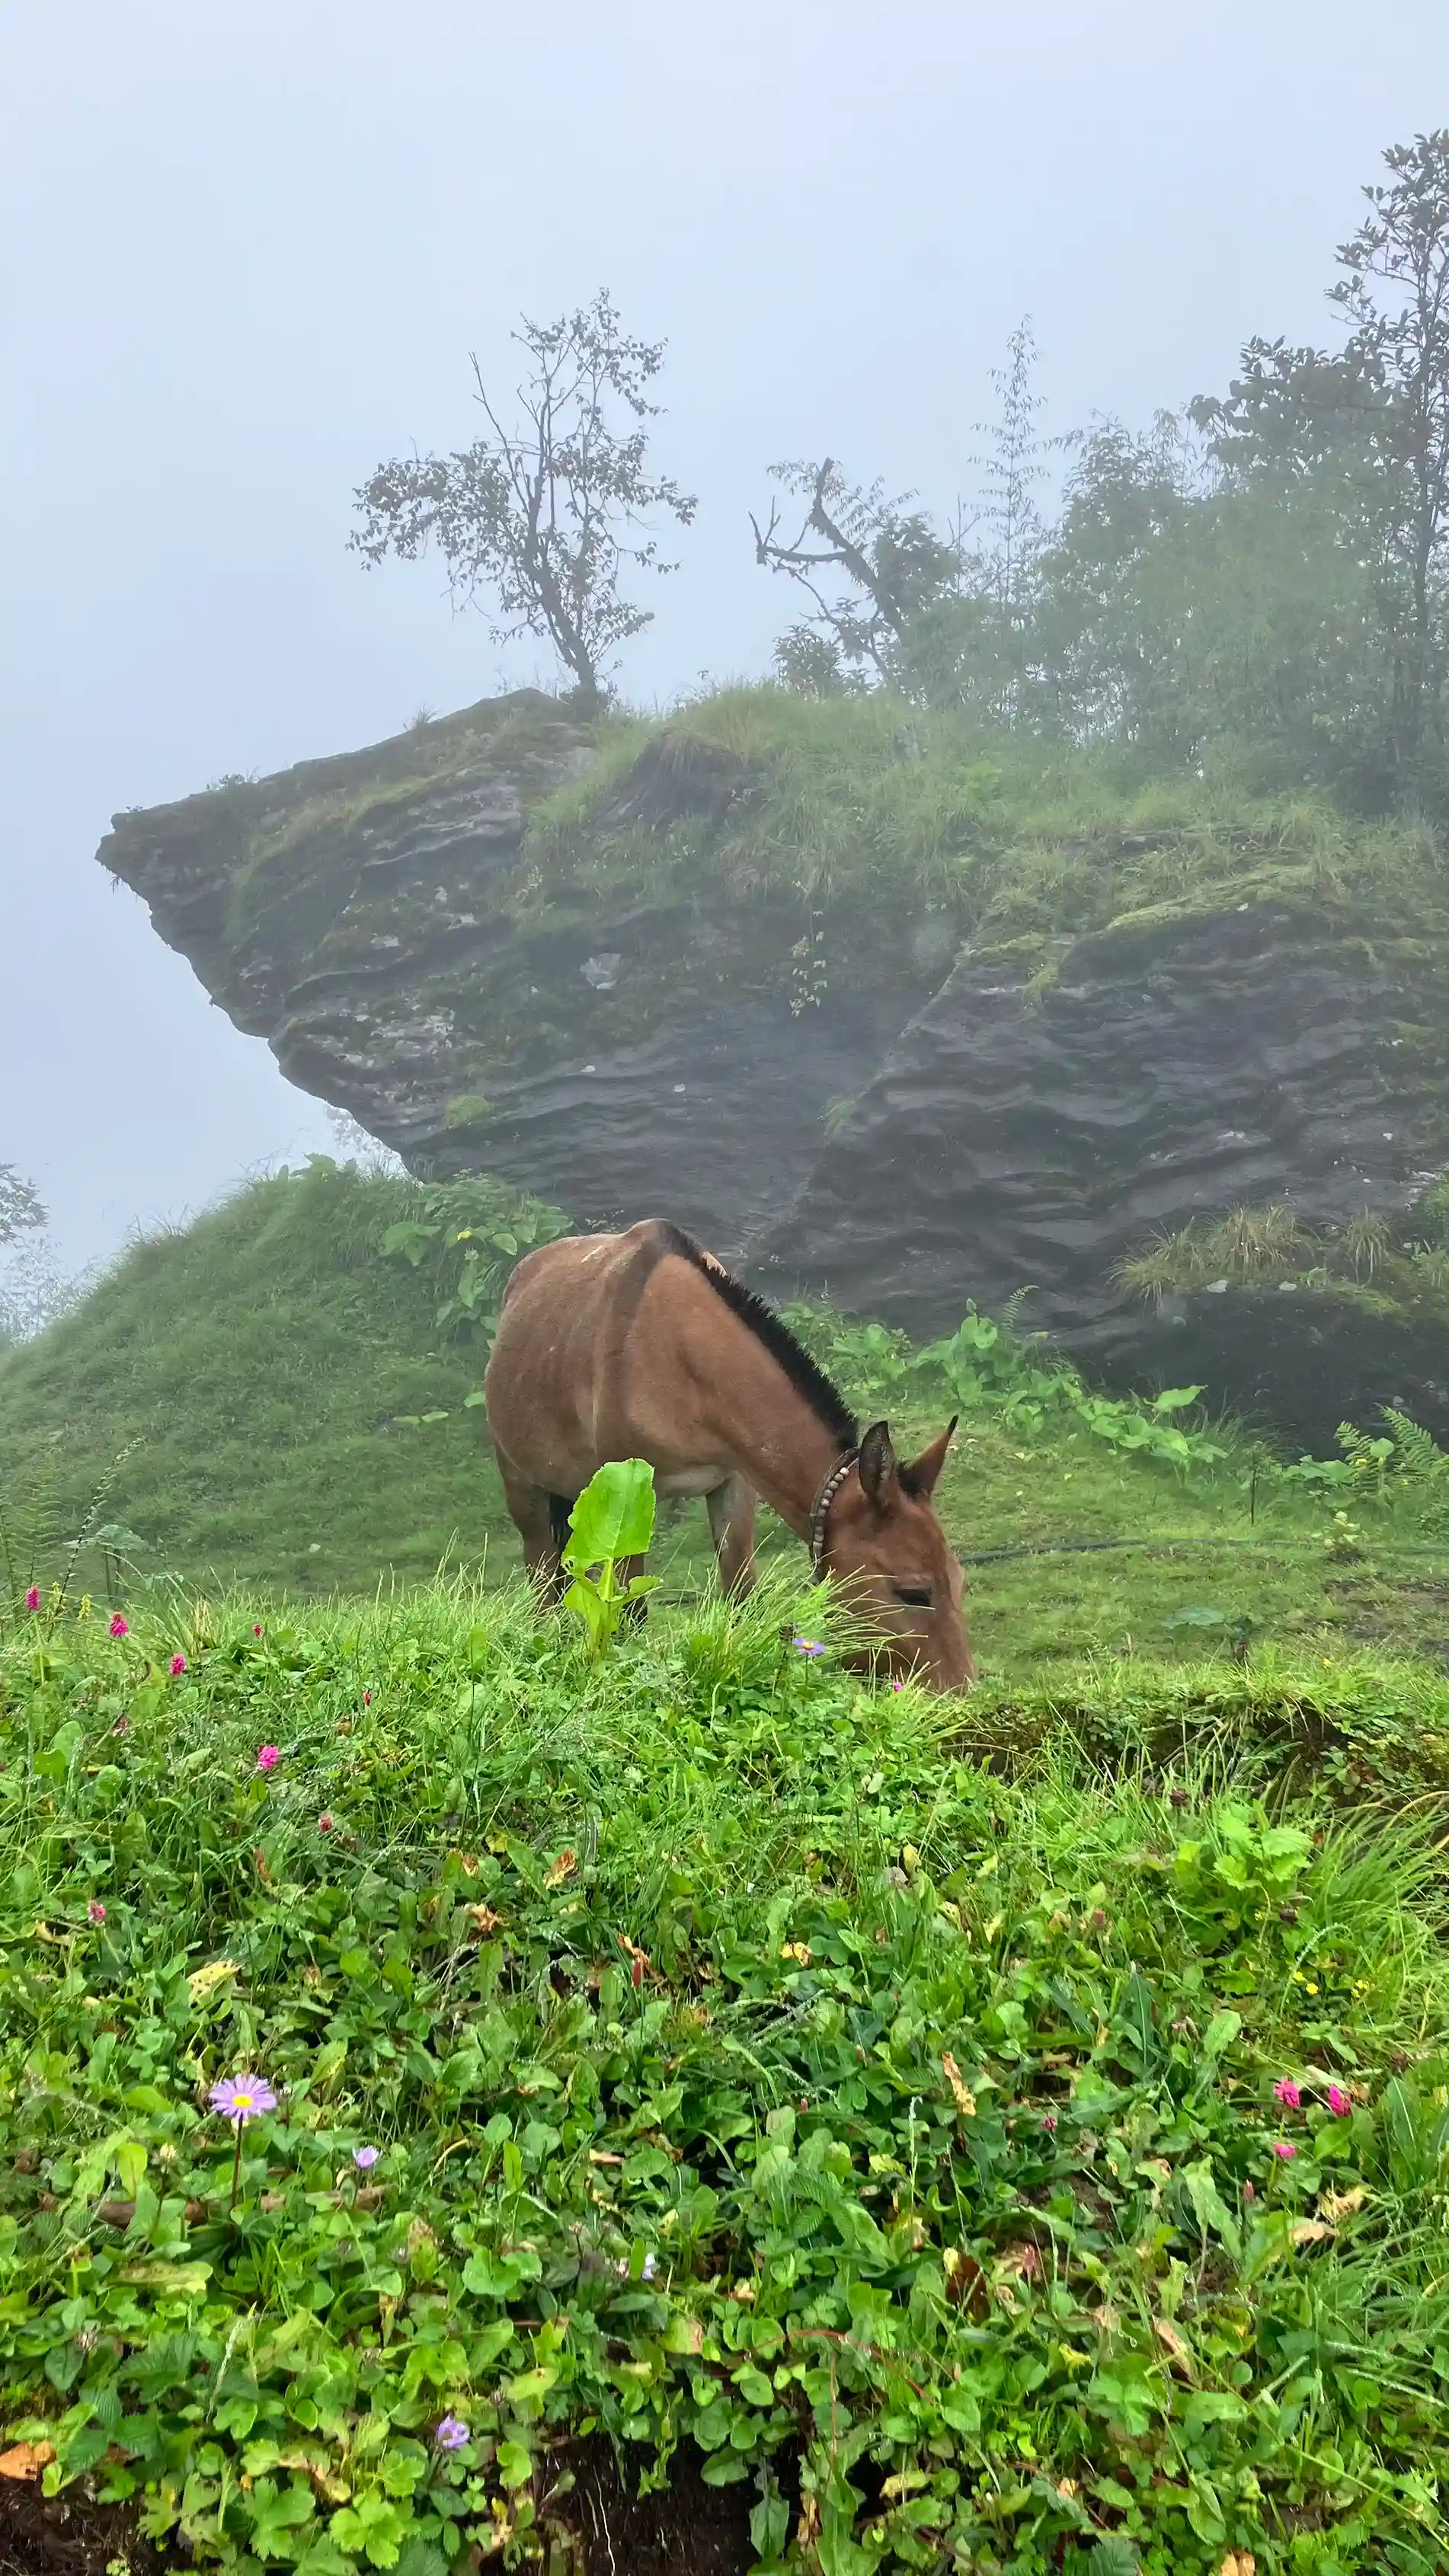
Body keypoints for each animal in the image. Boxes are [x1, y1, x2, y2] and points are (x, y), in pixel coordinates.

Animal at [481, 1221, 969, 1689]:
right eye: (913, 1593)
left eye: (960, 1580)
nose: (958, 1695)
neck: (677, 1352)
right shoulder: (631, 1494)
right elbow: (632, 1612)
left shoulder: (735, 1481)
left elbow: (741, 1594)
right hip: (520, 1481)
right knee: (542, 1573)